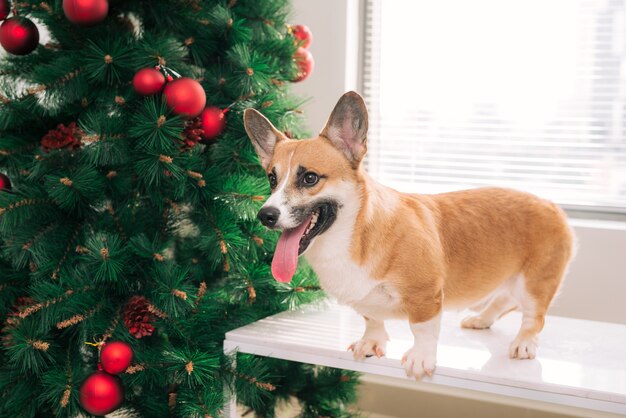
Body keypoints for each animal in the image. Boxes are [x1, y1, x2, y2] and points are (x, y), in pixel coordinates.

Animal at [241, 91, 572, 378]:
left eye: (309, 178)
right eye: (271, 179)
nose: (265, 215)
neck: (354, 233)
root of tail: (550, 204)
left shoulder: (425, 295)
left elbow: (422, 329)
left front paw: (421, 358)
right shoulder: (366, 301)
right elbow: (372, 319)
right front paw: (371, 342)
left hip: (535, 283)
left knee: (533, 316)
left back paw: (524, 343)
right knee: (504, 299)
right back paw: (481, 320)